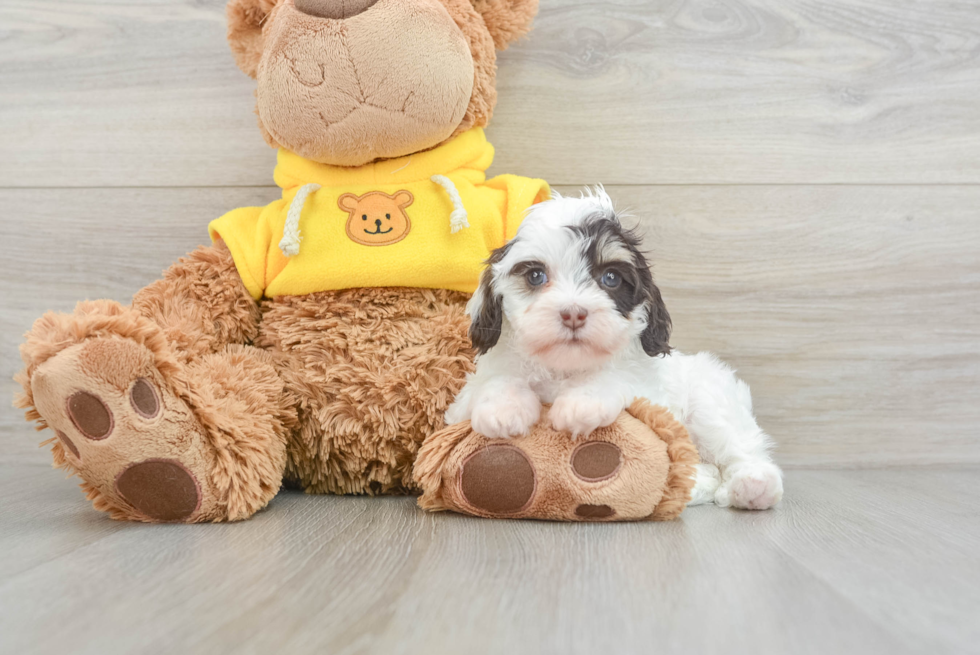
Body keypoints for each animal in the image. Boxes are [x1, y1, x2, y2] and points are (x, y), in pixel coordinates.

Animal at [448, 187, 784, 510]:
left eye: (610, 278)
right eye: (535, 276)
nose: (573, 313)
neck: (564, 368)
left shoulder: (650, 392)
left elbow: (616, 377)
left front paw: (582, 403)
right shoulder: (464, 402)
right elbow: (497, 380)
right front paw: (502, 409)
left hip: (711, 402)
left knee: (737, 446)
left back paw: (754, 485)